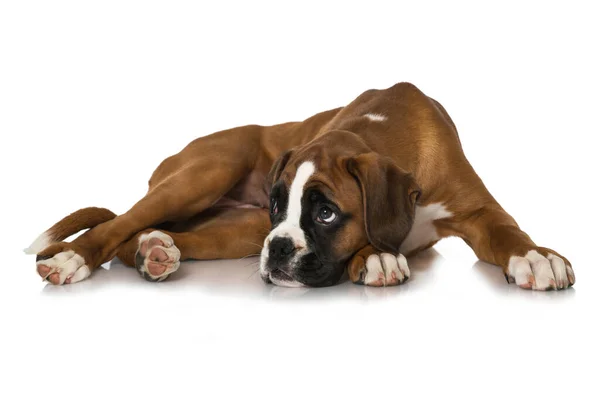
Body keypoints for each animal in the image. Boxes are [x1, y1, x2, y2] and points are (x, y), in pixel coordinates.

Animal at [25, 82, 576, 290]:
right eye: (277, 205)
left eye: (326, 213)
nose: (279, 247)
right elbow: (375, 242)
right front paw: (377, 257)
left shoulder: (481, 212)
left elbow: (509, 233)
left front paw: (536, 258)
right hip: (207, 174)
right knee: (117, 225)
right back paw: (71, 260)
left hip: (236, 229)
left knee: (140, 238)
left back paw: (157, 252)